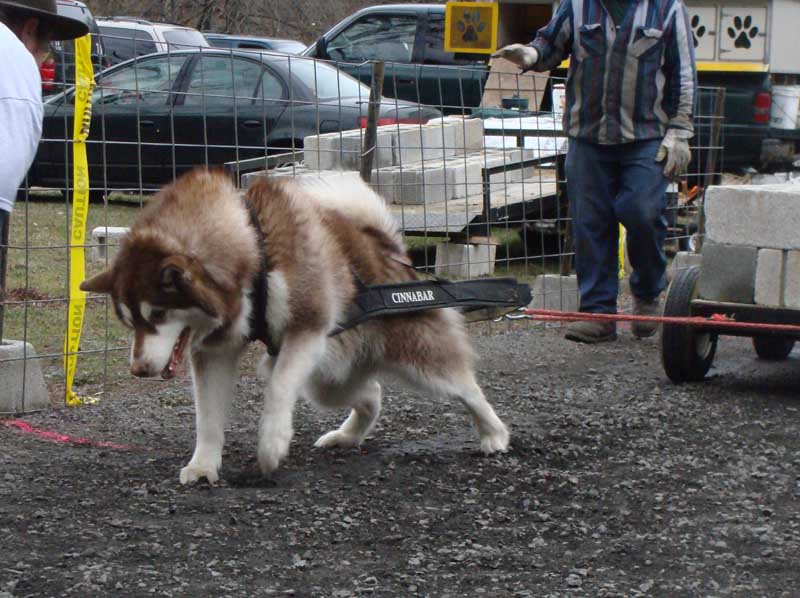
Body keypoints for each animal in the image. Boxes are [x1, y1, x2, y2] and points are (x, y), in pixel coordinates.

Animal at [81, 170, 506, 488]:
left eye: (156, 315)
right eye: (128, 321)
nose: (138, 370)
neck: (253, 247)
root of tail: (389, 251)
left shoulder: (308, 329)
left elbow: (279, 386)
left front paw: (271, 443)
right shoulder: (215, 352)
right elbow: (208, 417)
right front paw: (203, 465)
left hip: (412, 356)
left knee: (465, 387)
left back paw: (494, 434)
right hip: (327, 376)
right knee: (371, 392)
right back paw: (347, 436)